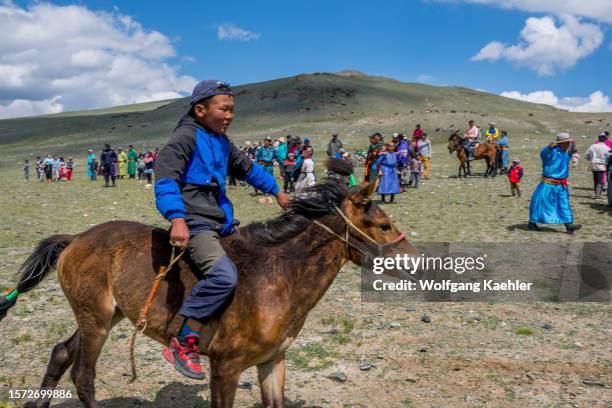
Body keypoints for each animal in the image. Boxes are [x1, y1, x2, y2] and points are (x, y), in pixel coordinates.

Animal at [1, 167, 416, 406]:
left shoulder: (272, 361)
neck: (278, 277)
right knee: (83, 376)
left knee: (61, 353)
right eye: (383, 225)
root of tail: (75, 239)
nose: (413, 260)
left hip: (106, 315)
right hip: (97, 322)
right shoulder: (225, 367)